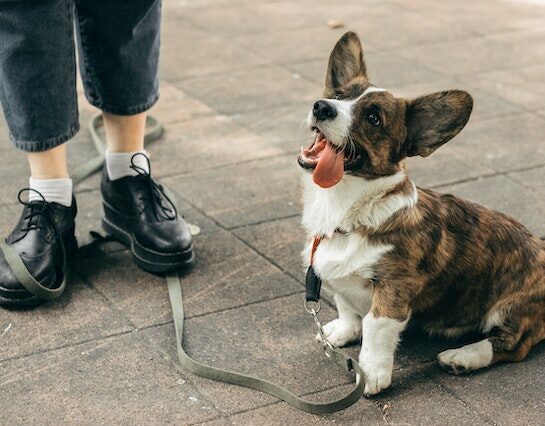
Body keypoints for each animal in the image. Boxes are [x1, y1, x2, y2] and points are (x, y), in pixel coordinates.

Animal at [298, 30, 544, 396]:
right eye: (339, 96)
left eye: (373, 118)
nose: (321, 106)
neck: (346, 212)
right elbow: (347, 307)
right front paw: (342, 331)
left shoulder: (393, 290)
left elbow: (374, 327)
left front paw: (371, 374)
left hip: (511, 307)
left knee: (515, 343)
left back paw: (463, 356)